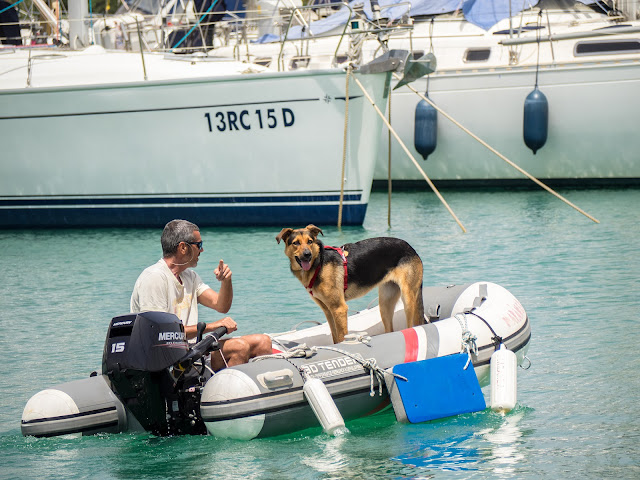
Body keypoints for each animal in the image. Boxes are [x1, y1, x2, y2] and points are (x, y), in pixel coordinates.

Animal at [276, 225, 424, 344]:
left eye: (310, 241)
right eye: (296, 243)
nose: (307, 254)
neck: (319, 264)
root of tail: (410, 247)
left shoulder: (339, 309)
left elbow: (342, 337)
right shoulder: (328, 311)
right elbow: (335, 338)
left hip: (408, 299)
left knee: (412, 326)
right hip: (385, 303)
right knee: (390, 329)